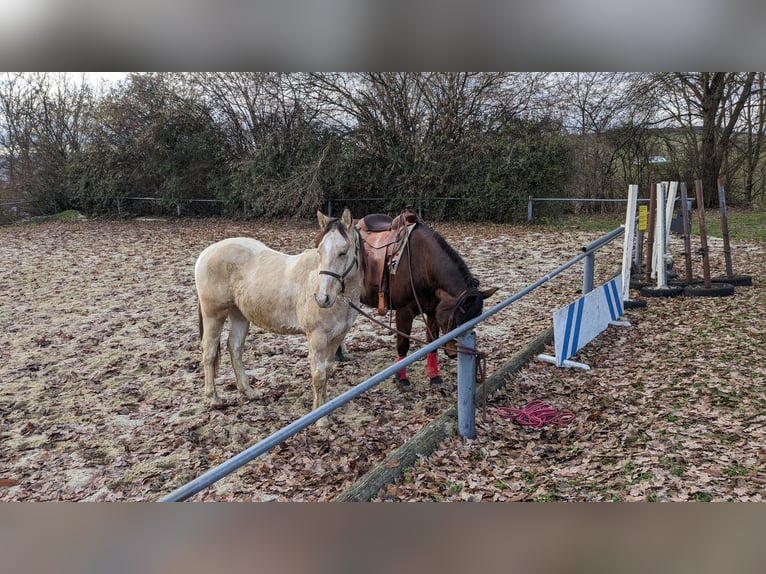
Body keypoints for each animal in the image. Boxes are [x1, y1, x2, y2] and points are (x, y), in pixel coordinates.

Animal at [196, 208, 368, 424]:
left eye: (343, 252)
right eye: (319, 251)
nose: (322, 298)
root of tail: (206, 253)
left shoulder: (337, 337)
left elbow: (327, 371)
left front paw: (323, 409)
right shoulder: (317, 338)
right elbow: (318, 375)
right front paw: (320, 420)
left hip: (239, 314)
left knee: (234, 348)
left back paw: (249, 392)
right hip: (214, 315)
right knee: (209, 352)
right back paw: (214, 399)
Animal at [350, 212, 498, 392]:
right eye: (456, 319)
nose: (453, 353)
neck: (423, 264)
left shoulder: (433, 311)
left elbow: (432, 343)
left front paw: (434, 376)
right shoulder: (404, 313)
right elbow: (403, 345)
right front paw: (402, 379)